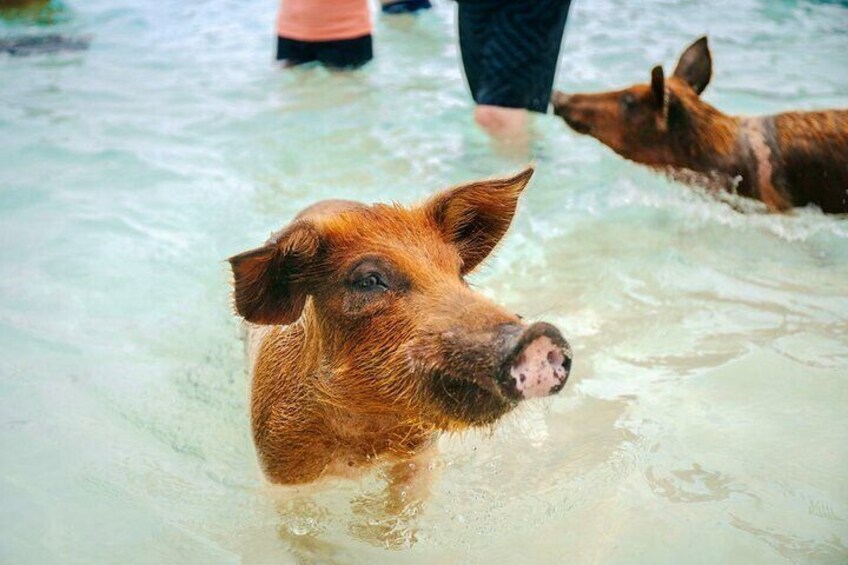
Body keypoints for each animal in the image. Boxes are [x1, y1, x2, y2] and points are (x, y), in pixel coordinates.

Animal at [227, 164, 568, 484]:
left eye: (457, 272)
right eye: (368, 280)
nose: (540, 333)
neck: (364, 434)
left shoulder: (421, 452)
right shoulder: (281, 470)